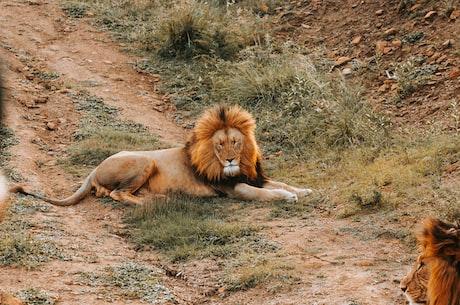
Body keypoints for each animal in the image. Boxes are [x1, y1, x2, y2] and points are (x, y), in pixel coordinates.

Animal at [11, 104, 312, 204]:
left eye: (235, 142)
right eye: (220, 144)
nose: (229, 160)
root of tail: (93, 169)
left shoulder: (253, 177)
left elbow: (279, 183)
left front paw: (303, 190)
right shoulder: (232, 188)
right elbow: (263, 194)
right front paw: (288, 197)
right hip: (145, 160)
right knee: (117, 194)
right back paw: (154, 202)